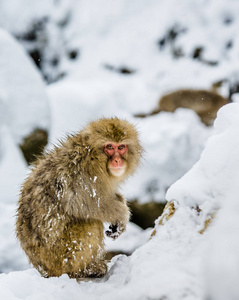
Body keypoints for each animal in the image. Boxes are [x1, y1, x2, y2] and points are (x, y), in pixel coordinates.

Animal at [15, 117, 143, 278]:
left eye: (121, 147)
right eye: (109, 146)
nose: (117, 161)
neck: (92, 155)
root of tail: (45, 268)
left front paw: (121, 205)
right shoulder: (83, 175)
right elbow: (86, 204)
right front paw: (122, 215)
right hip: (63, 254)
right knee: (90, 222)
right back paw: (87, 270)